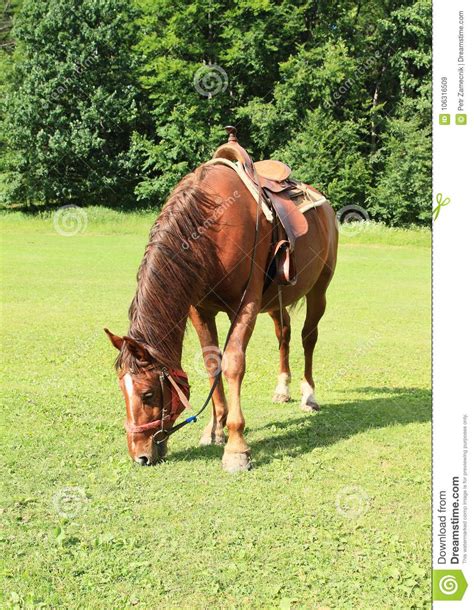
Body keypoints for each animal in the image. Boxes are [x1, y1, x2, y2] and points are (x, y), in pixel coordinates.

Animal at [106, 147, 338, 470]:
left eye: (148, 394)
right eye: (121, 389)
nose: (139, 455)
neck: (213, 230)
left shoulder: (246, 305)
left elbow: (233, 364)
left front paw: (237, 447)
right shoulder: (200, 308)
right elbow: (211, 362)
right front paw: (215, 428)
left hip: (319, 290)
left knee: (308, 338)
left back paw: (309, 396)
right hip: (276, 300)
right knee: (284, 334)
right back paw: (282, 389)